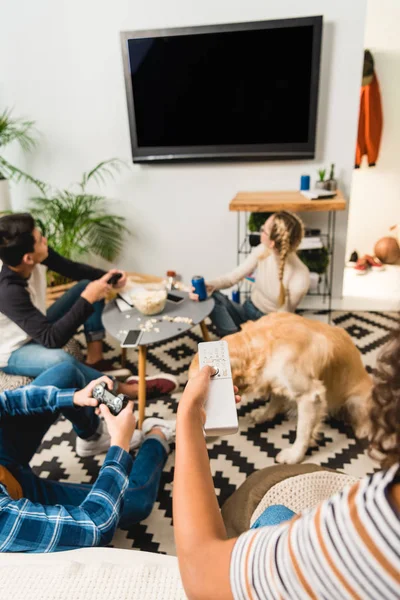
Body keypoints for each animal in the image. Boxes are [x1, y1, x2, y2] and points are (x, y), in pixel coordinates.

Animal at [189, 312, 374, 466]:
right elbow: (274, 400)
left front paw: (294, 456)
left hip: (357, 401)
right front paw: (263, 414)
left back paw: (364, 430)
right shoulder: (275, 378)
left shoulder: (310, 395)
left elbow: (302, 431)